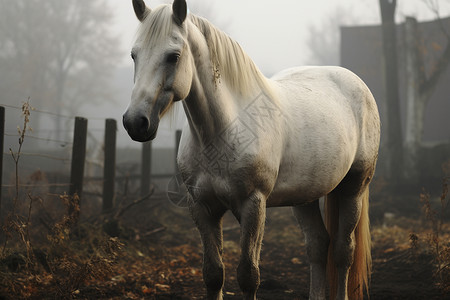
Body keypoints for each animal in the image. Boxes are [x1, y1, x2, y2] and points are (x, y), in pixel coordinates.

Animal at [123, 1, 380, 298]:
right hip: (305, 197)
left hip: (354, 188)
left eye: (173, 56)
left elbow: (248, 275)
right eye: (134, 55)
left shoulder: (253, 205)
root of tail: (355, 82)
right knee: (318, 246)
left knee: (342, 251)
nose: (135, 122)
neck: (223, 131)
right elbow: (213, 274)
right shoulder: (202, 207)